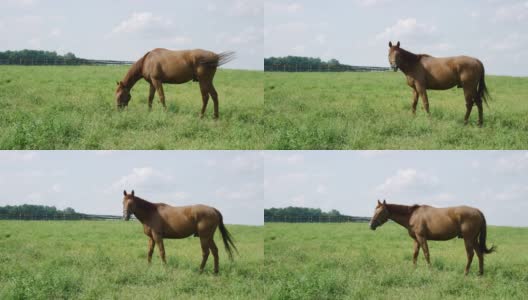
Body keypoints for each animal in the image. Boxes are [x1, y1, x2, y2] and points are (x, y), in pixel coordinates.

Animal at [368, 200, 496, 276]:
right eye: (375, 210)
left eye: (380, 212)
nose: (371, 225)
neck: (412, 215)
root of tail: (478, 211)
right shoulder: (416, 239)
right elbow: (415, 254)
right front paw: (414, 269)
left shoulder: (421, 237)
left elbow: (426, 254)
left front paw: (430, 270)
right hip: (473, 239)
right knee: (479, 254)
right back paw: (480, 273)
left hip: (468, 238)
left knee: (470, 254)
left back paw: (465, 273)